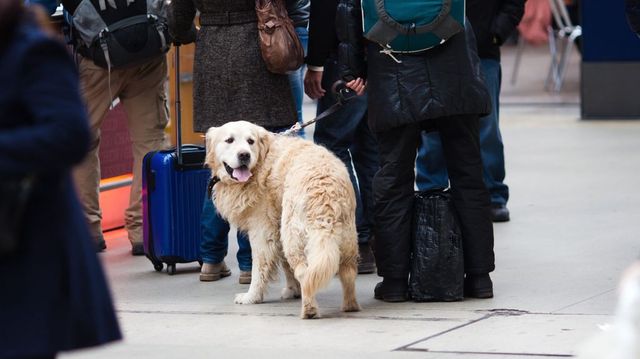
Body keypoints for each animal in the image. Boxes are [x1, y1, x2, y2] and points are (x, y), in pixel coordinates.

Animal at [208, 121, 362, 320]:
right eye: (229, 140)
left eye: (250, 141)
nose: (244, 155)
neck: (261, 163)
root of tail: (325, 195)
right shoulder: (277, 227)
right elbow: (286, 266)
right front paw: (292, 290)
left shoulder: (262, 232)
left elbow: (260, 268)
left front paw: (252, 297)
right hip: (347, 240)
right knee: (348, 273)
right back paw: (350, 306)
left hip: (293, 238)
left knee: (305, 273)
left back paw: (309, 310)